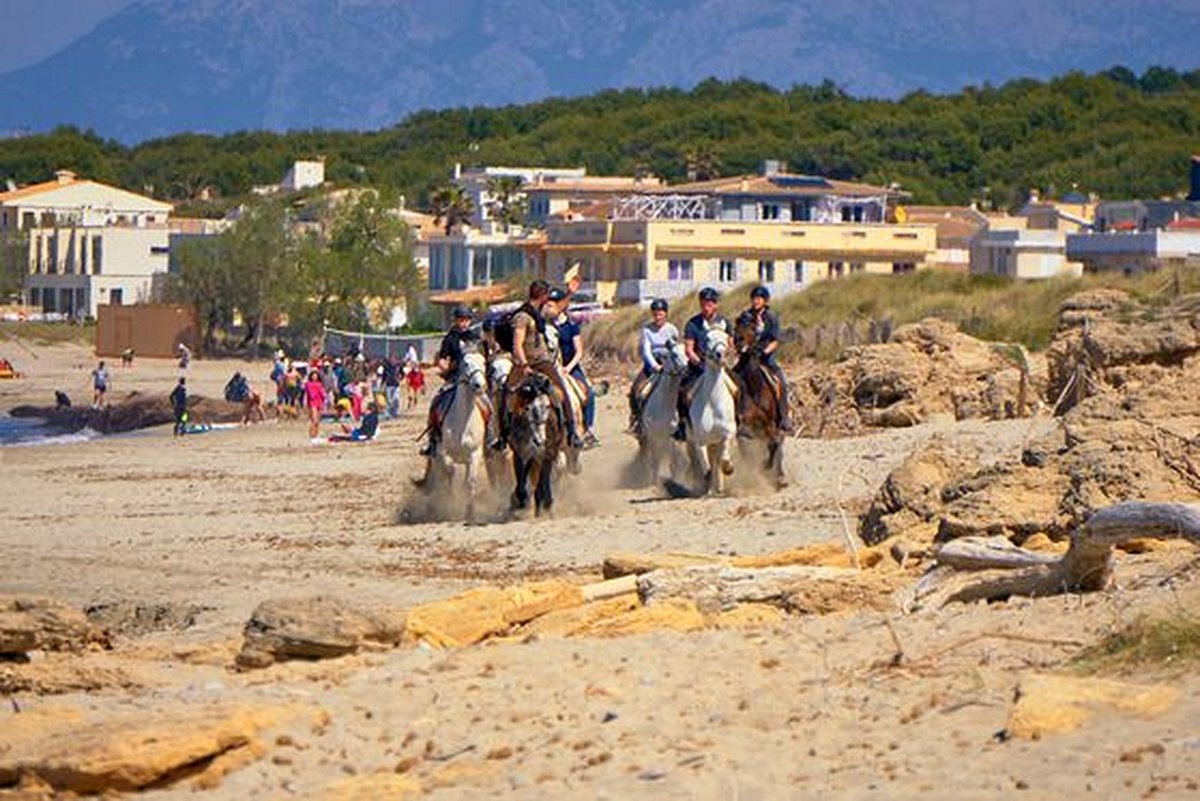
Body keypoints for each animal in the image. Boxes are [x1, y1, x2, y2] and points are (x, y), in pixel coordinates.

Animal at [432, 352, 487, 520]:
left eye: (483, 362)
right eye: (466, 363)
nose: (479, 385)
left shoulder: (475, 454)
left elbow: (470, 481)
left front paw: (470, 511)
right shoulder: (444, 452)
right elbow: (451, 472)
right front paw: (452, 502)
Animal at [633, 342, 691, 484]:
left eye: (686, 353)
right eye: (674, 354)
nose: (687, 370)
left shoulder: (672, 436)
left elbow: (673, 462)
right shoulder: (653, 435)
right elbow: (655, 461)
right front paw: (654, 483)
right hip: (646, 437)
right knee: (645, 454)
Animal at [691, 326, 734, 494]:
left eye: (727, 337)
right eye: (707, 338)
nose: (720, 355)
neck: (713, 403)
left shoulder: (728, 432)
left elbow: (724, 457)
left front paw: (728, 468)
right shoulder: (700, 440)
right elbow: (706, 466)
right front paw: (707, 485)